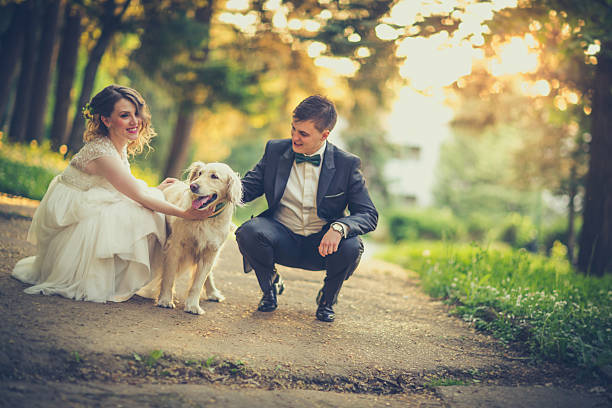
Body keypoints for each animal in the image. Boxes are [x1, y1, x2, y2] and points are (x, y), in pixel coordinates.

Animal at [157, 161, 243, 314]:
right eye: (200, 173)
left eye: (214, 176)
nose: (193, 186)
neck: (206, 219)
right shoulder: (175, 246)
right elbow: (169, 275)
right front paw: (165, 300)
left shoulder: (210, 251)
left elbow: (198, 282)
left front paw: (192, 306)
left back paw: (213, 293)